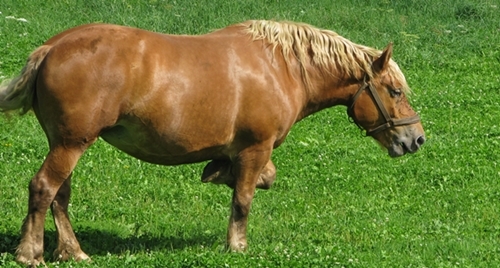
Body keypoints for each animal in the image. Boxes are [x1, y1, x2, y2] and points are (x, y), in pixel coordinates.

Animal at [0, 20, 424, 266]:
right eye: (395, 90)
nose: (415, 138)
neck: (281, 67)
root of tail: (51, 48)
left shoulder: (249, 151)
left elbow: (254, 178)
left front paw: (217, 171)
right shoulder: (256, 147)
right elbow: (243, 199)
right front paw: (237, 245)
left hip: (65, 142)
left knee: (59, 196)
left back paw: (71, 250)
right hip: (72, 143)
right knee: (43, 188)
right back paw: (30, 253)